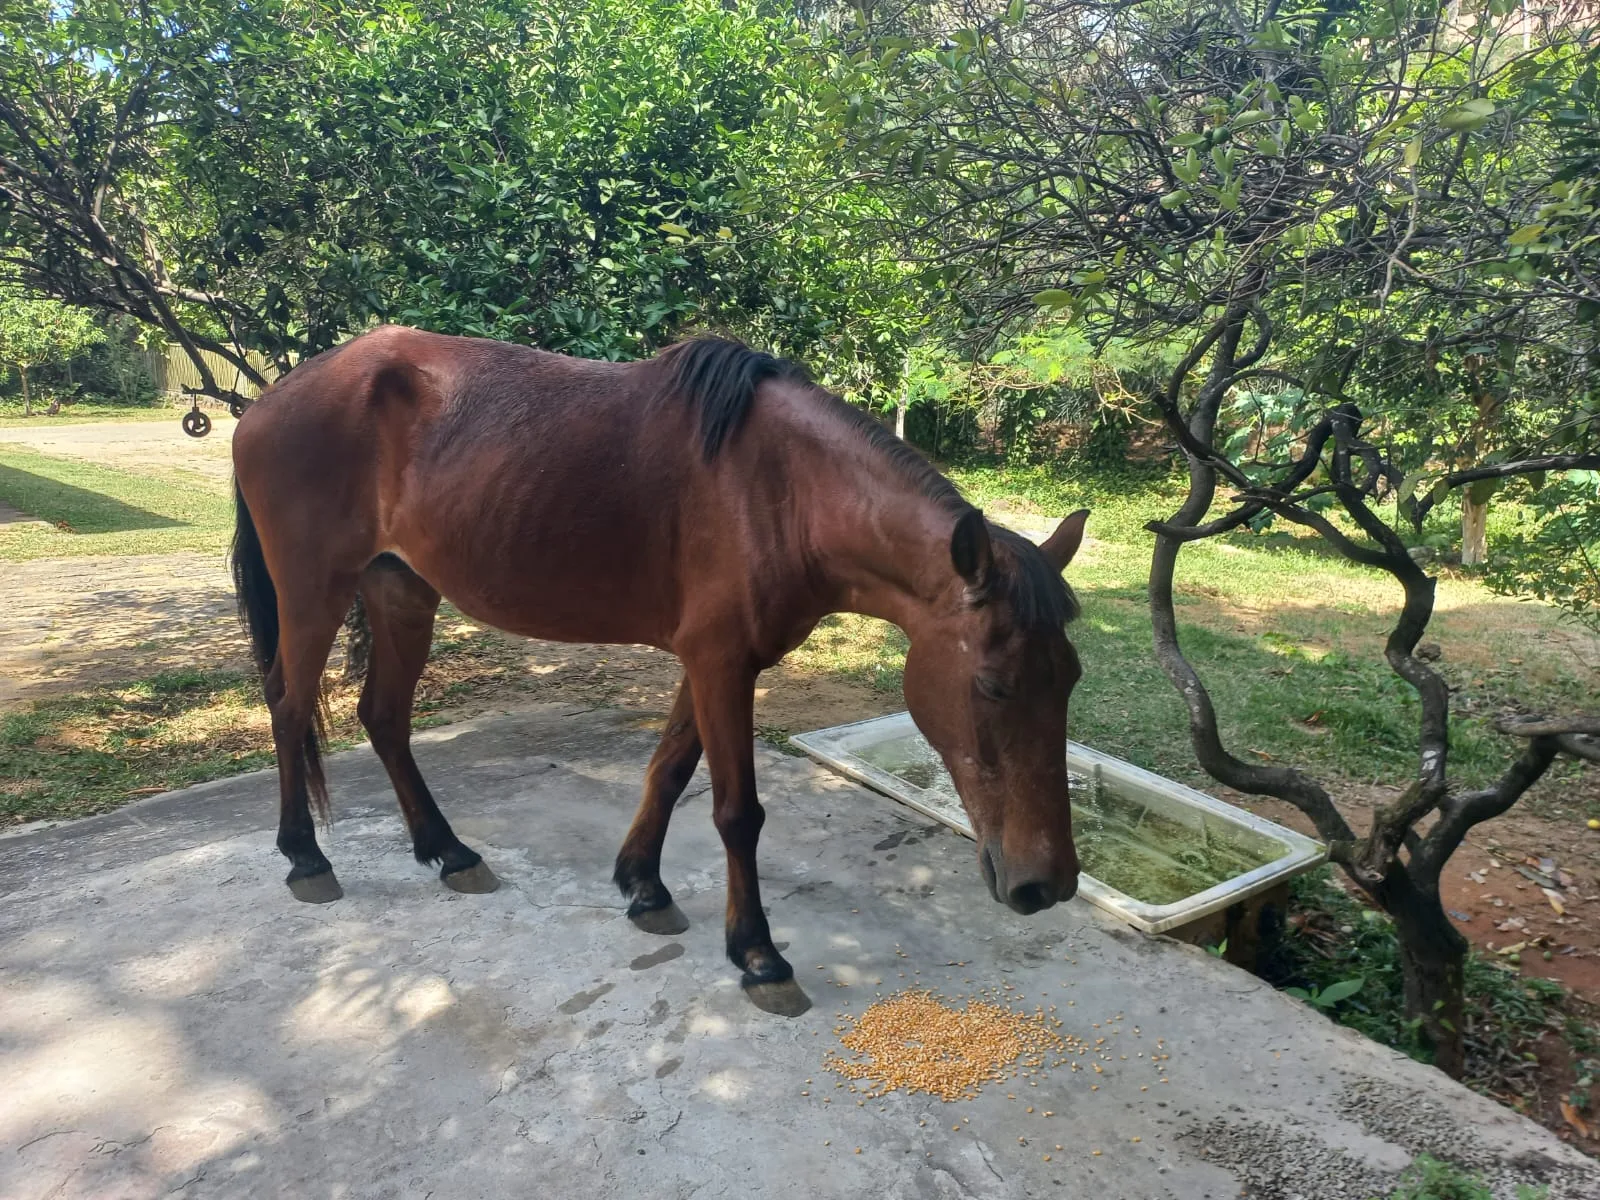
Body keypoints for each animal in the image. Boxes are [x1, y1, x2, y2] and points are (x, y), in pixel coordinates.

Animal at [232, 326, 1094, 998]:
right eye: (993, 685)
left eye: (1071, 681)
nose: (1045, 886)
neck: (784, 490)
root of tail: (267, 402)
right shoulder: (721, 663)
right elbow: (736, 812)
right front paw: (757, 952)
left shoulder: (714, 660)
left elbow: (670, 769)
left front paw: (642, 886)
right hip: (314, 594)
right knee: (288, 705)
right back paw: (305, 858)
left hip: (402, 590)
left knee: (383, 717)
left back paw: (448, 851)